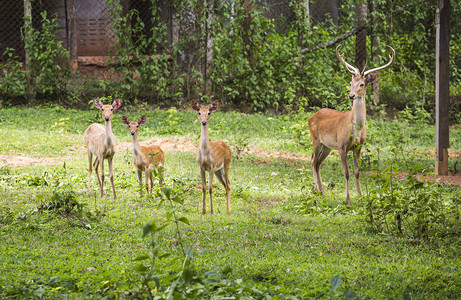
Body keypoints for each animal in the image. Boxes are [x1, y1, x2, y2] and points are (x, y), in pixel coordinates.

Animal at [308, 44, 394, 205]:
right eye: (350, 83)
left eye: (362, 84)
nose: (351, 95)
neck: (356, 129)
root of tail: (311, 117)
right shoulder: (342, 146)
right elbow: (346, 173)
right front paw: (347, 200)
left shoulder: (359, 146)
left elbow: (357, 172)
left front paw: (361, 196)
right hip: (315, 139)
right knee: (312, 160)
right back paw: (316, 191)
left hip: (327, 146)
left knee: (318, 163)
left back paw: (322, 192)